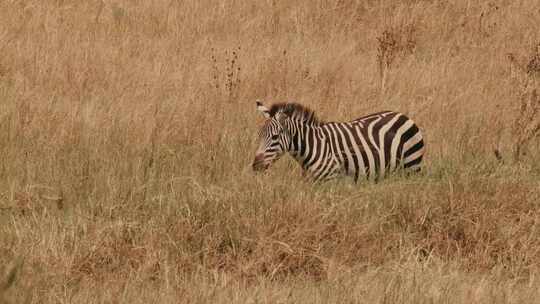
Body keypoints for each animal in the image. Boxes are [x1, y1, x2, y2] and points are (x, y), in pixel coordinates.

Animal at [253, 101, 426, 183]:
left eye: (275, 137)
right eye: (259, 135)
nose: (255, 166)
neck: (313, 145)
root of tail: (404, 116)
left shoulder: (330, 180)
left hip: (412, 166)